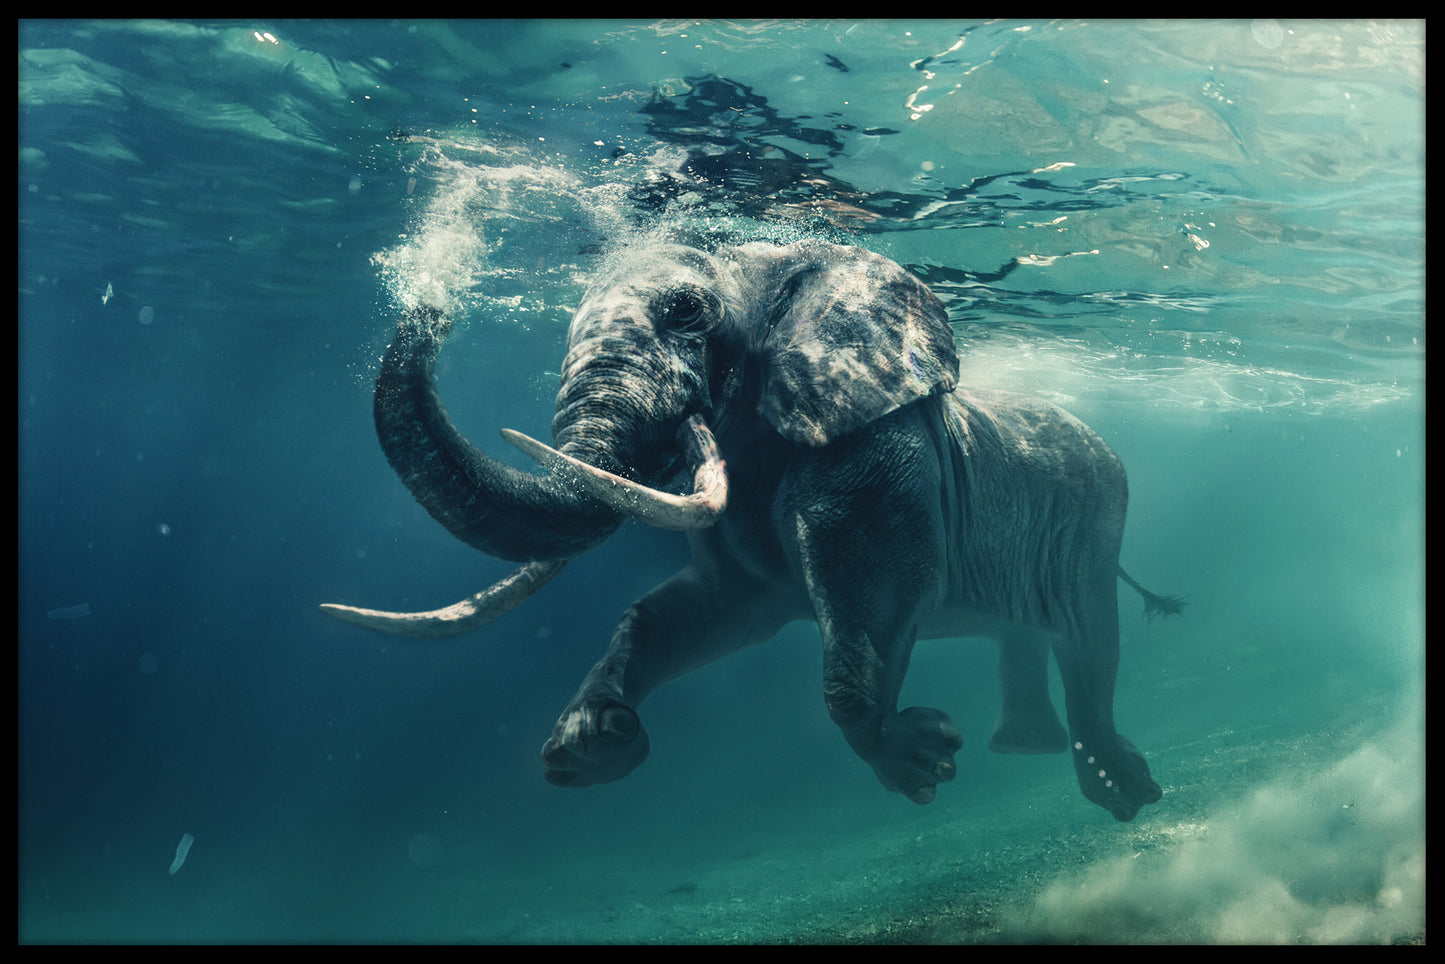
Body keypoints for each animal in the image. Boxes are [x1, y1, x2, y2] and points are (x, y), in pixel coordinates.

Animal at [322, 239, 1182, 821]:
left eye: (684, 312)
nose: (433, 304)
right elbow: (688, 612)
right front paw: (591, 746)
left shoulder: (873, 448)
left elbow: (877, 588)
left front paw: (922, 761)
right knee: (1025, 634)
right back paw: (1026, 750)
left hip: (1096, 518)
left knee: (1088, 642)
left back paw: (1121, 792)